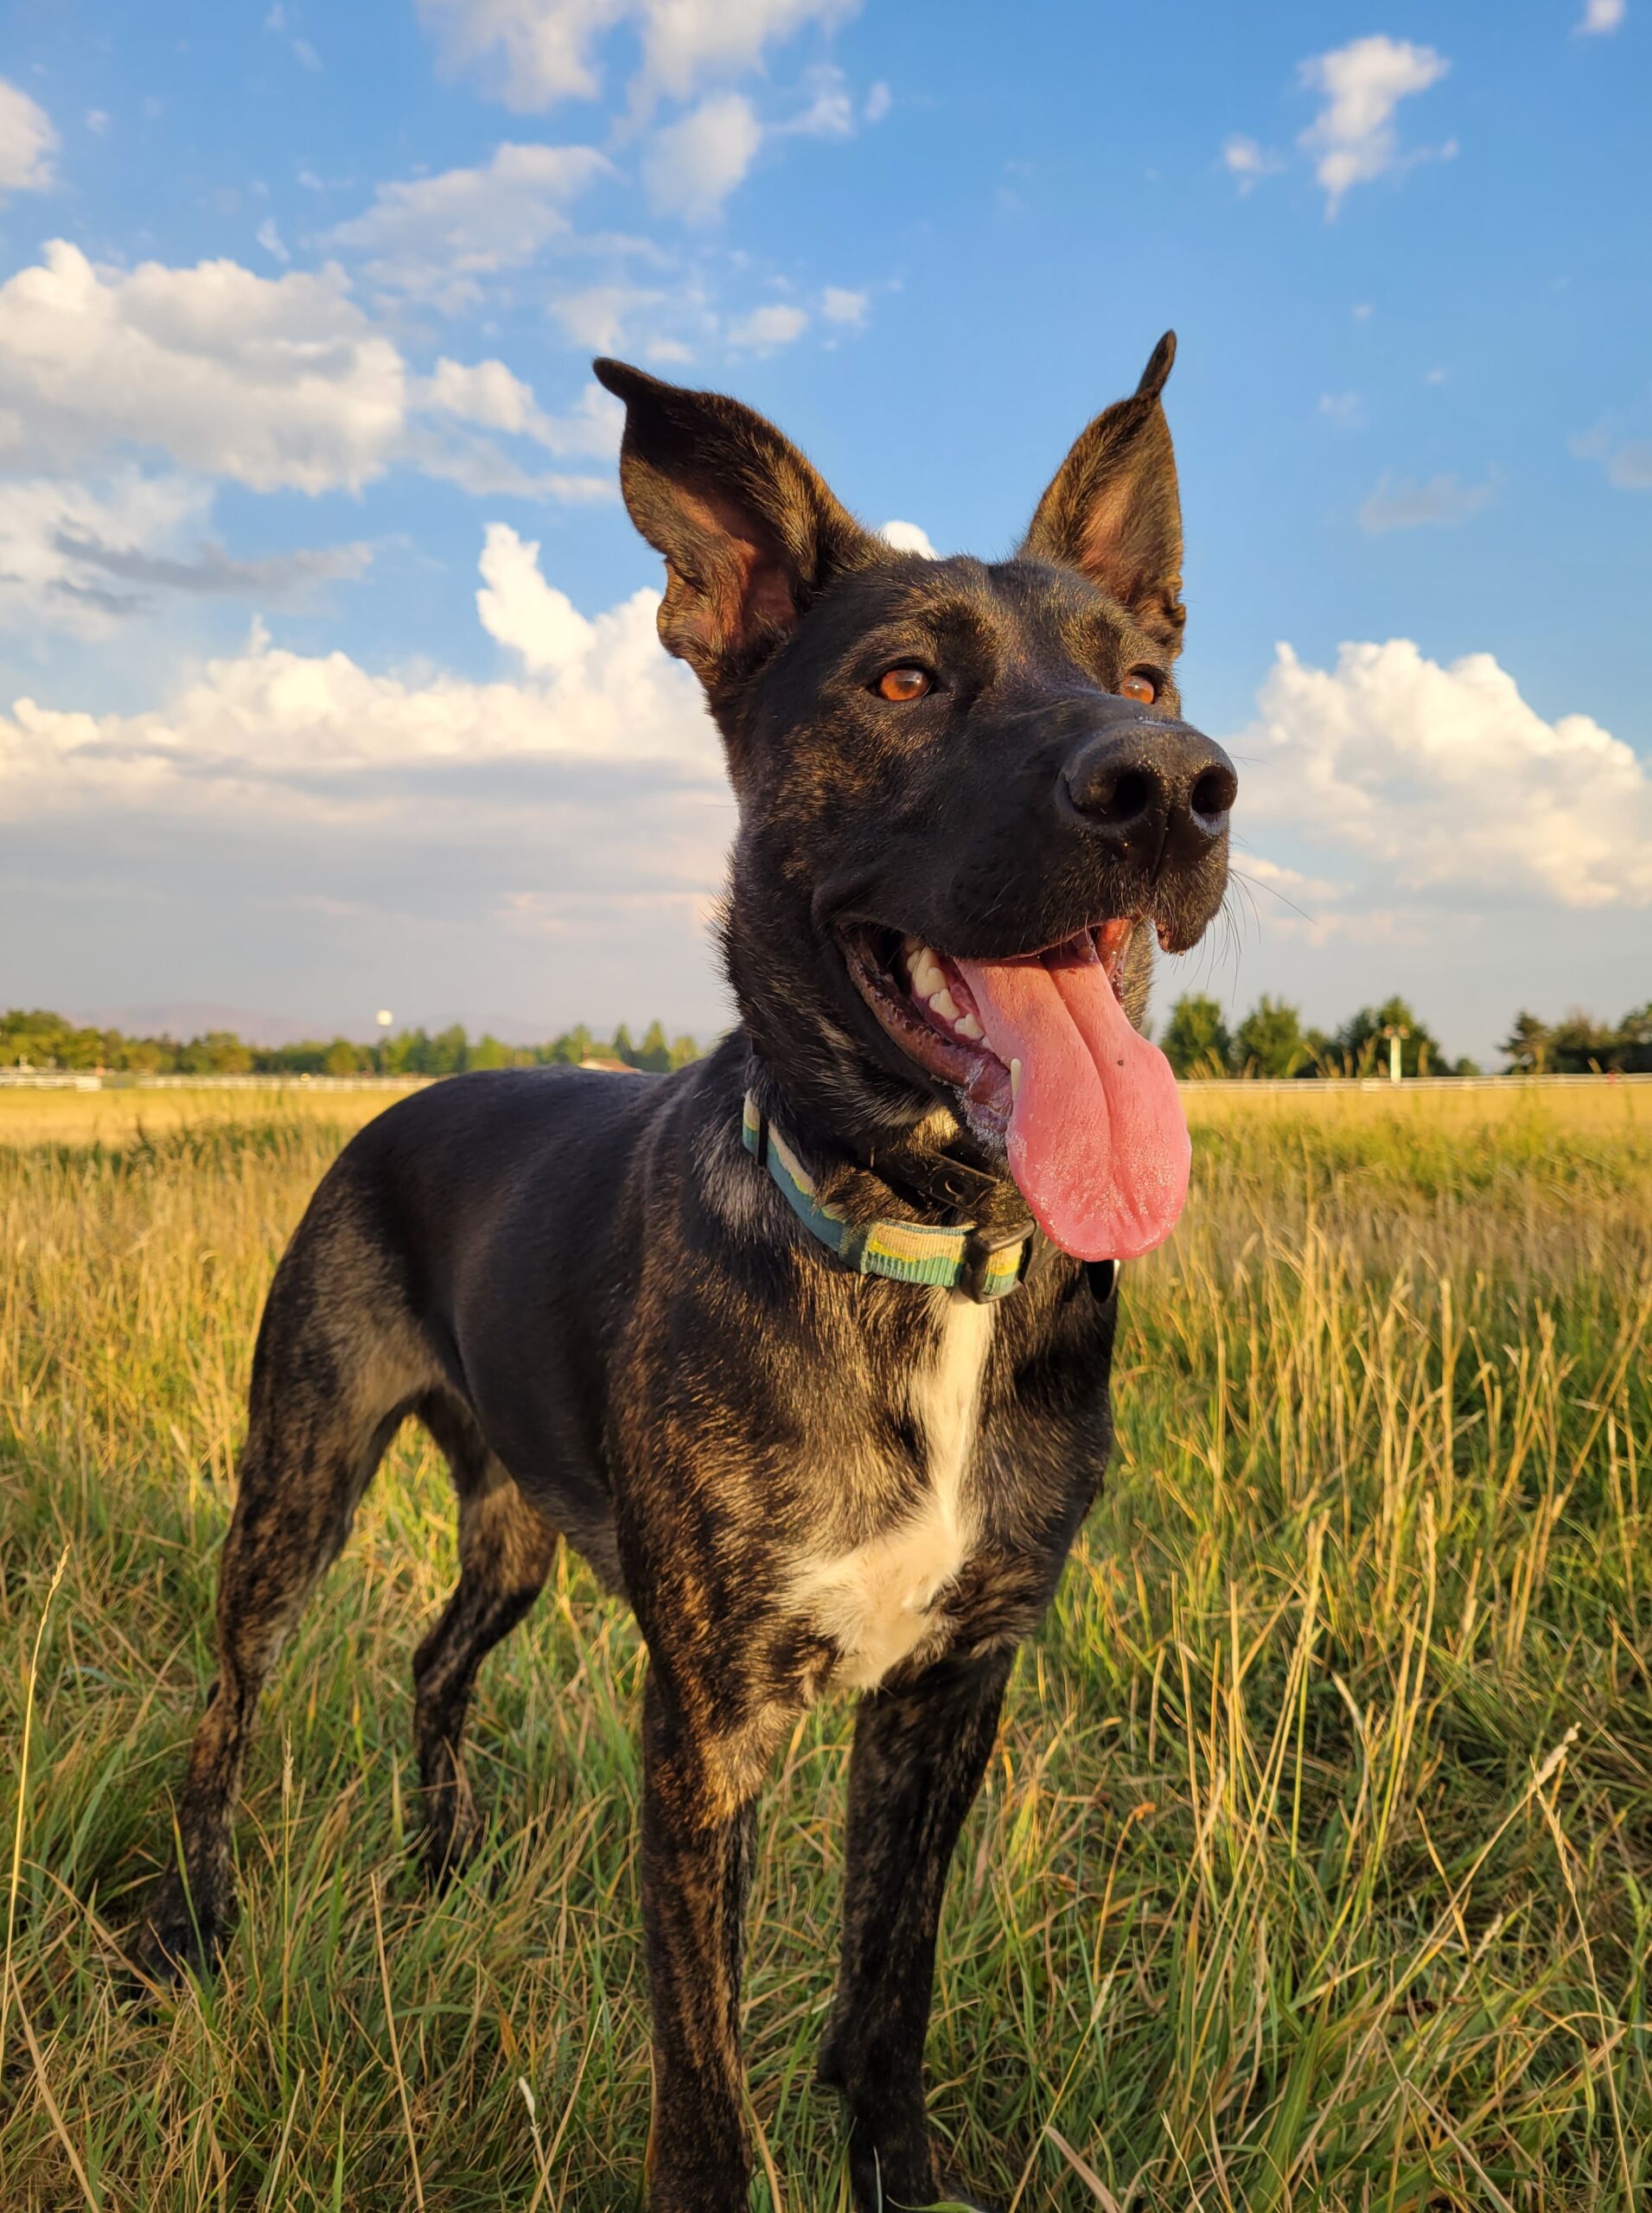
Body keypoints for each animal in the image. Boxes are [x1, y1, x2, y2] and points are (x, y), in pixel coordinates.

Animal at [144, 332, 1240, 2213]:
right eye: (899, 678)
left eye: (1150, 671)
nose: (1170, 781)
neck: (921, 1243)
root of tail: (408, 1093)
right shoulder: (708, 1724)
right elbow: (706, 2101)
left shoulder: (955, 1684)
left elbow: (887, 2002)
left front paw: (899, 2170)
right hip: (298, 1479)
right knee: (230, 1708)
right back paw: (205, 1923)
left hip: (511, 1523)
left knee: (431, 1664)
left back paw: (440, 1869)